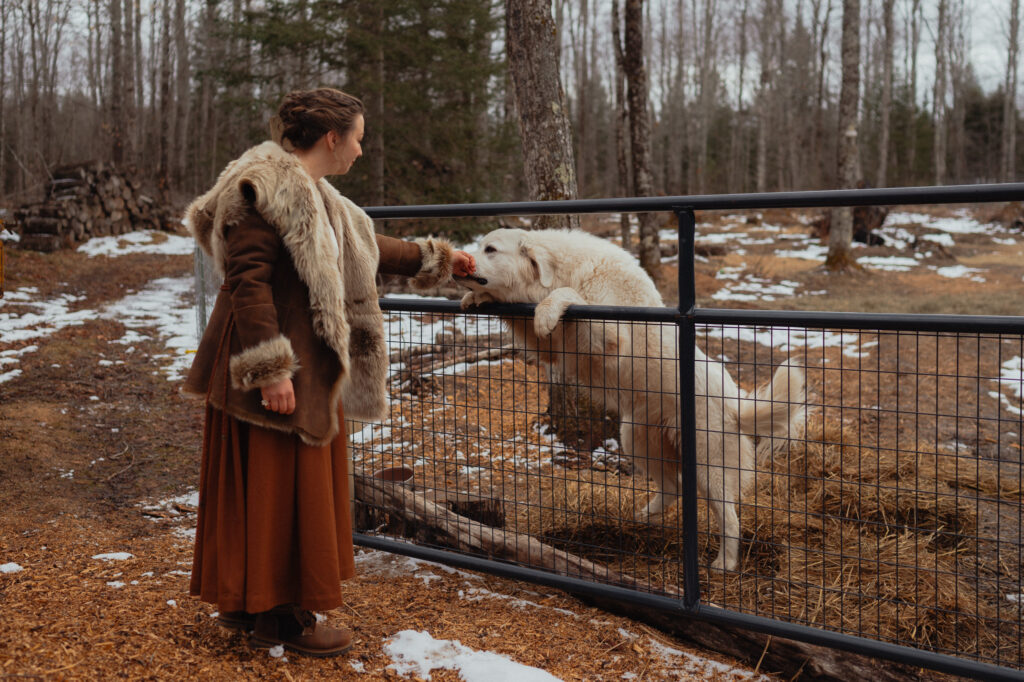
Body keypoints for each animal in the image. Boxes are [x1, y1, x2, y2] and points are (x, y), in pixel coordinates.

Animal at [460, 227, 802, 569]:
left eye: (490, 249)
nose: (460, 263)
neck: (565, 270)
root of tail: (736, 407)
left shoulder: (609, 336)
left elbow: (567, 295)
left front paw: (547, 308)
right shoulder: (552, 350)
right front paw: (477, 297)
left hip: (708, 468)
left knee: (728, 518)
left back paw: (725, 564)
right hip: (636, 439)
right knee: (673, 488)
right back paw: (644, 516)